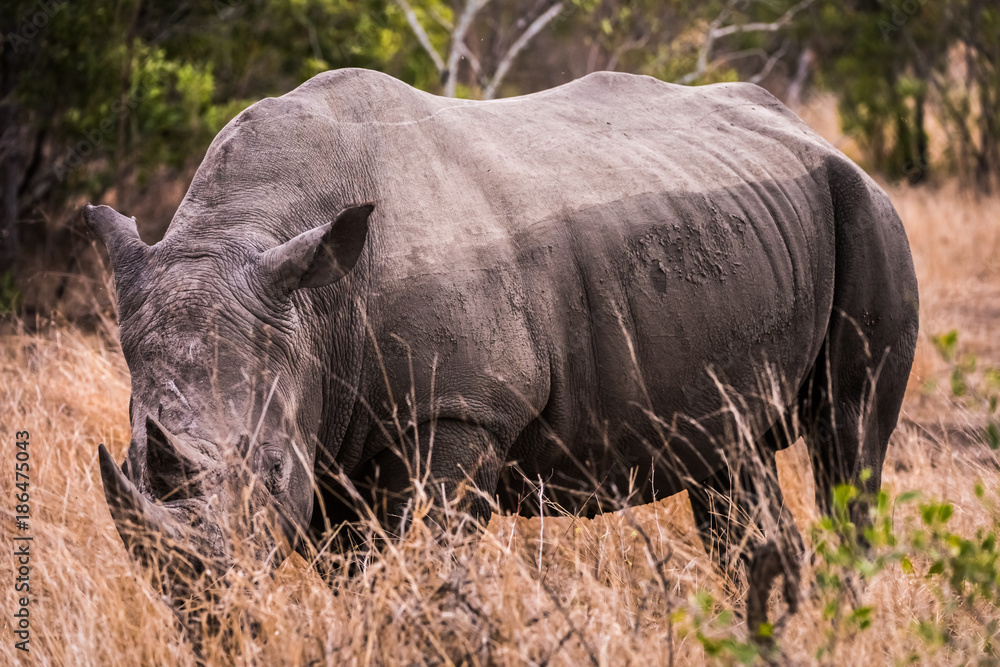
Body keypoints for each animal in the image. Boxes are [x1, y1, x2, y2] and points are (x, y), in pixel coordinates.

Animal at [86, 69, 918, 611]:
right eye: (129, 461)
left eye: (266, 468)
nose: (196, 601)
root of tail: (807, 130)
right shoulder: (325, 424)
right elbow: (353, 574)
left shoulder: (461, 410)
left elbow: (429, 558)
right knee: (732, 462)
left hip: (868, 210)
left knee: (848, 442)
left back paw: (843, 614)